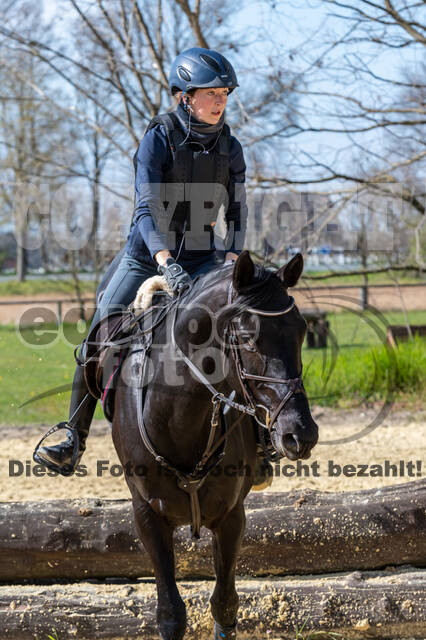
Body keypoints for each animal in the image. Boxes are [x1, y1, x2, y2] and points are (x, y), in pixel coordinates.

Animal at [111, 251, 318, 640]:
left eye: (301, 331)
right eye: (249, 339)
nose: (301, 433)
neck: (178, 421)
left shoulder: (230, 517)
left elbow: (224, 604)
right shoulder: (147, 516)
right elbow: (170, 612)